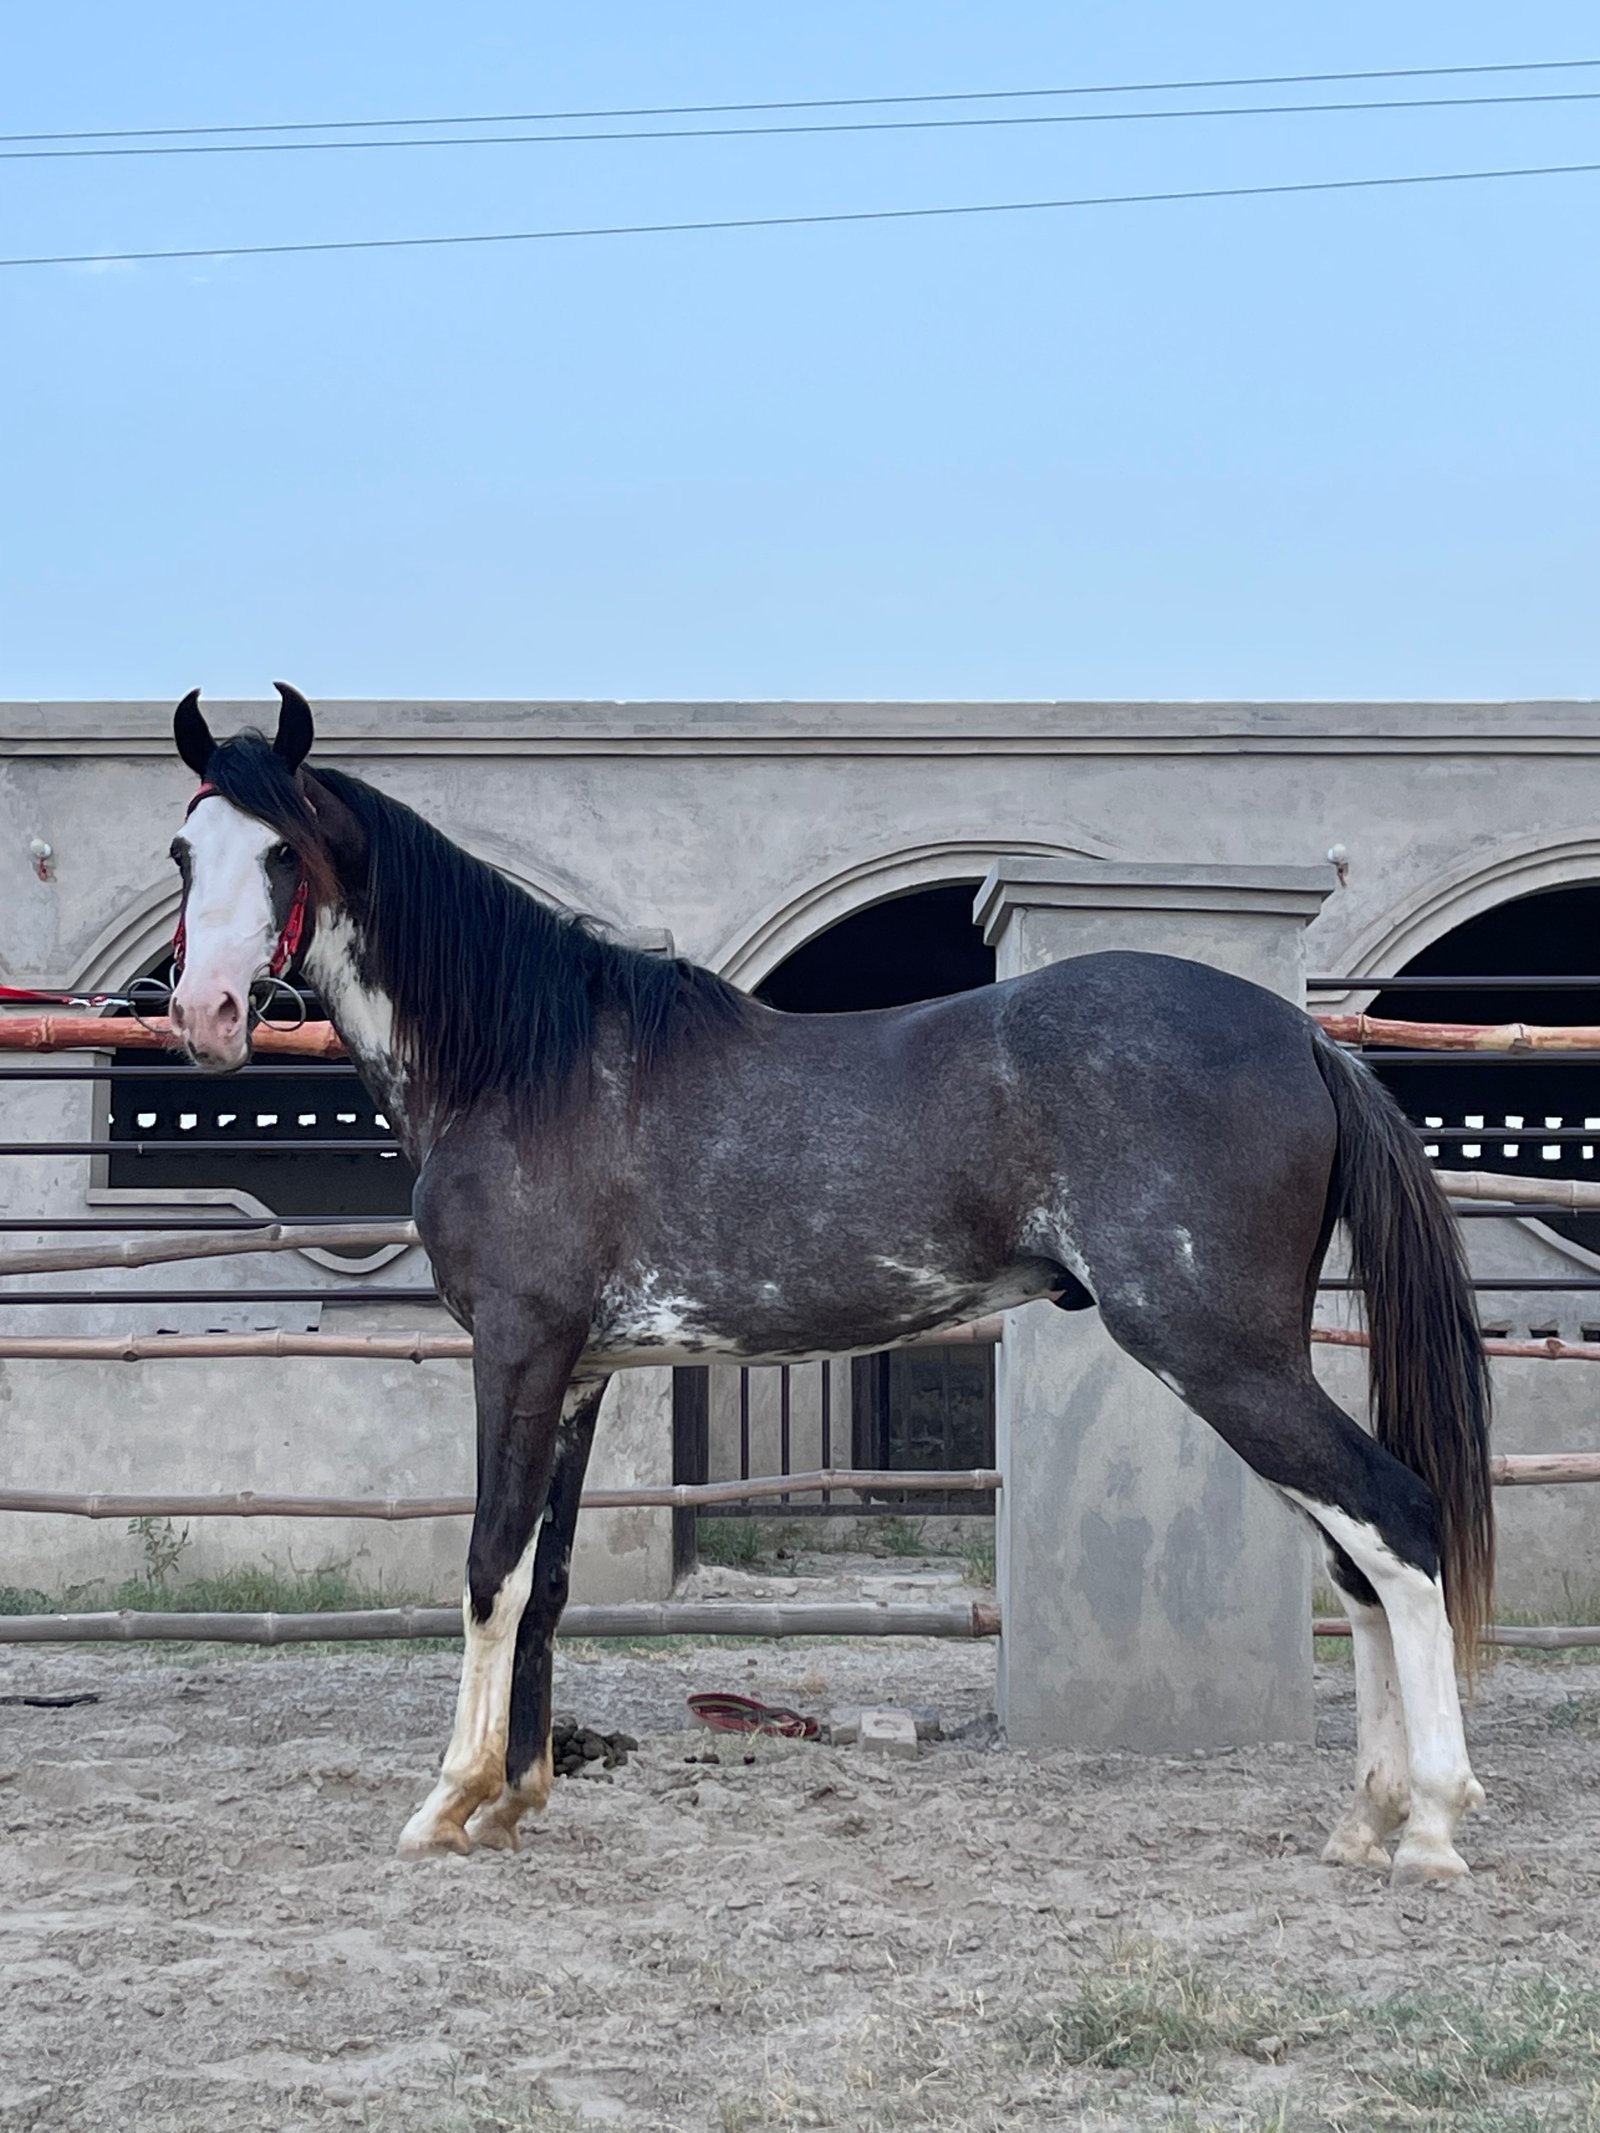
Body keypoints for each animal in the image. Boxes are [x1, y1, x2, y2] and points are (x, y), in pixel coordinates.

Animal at [163, 685, 1493, 1885]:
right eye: (184, 849)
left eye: (281, 850)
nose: (206, 1016)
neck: (526, 1064)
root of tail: (1306, 1040)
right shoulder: (584, 1373)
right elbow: (546, 1582)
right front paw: (511, 1804)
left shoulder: (518, 1351)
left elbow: (490, 1568)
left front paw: (446, 1804)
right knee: (1356, 1563)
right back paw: (1364, 1821)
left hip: (1219, 1354)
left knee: (1395, 1523)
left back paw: (1428, 1829)